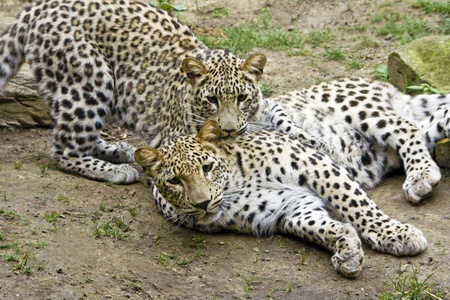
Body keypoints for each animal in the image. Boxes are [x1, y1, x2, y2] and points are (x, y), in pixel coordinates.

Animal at [134, 119, 428, 276]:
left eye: (207, 168)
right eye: (174, 181)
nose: (202, 203)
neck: (237, 181)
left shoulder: (315, 164)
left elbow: (355, 201)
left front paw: (396, 234)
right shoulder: (288, 208)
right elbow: (321, 227)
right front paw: (347, 250)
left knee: (410, 128)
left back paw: (420, 178)